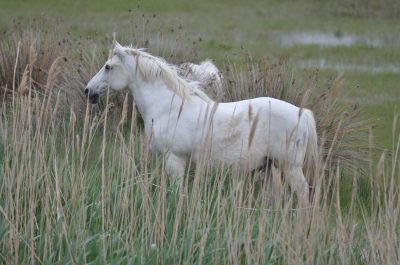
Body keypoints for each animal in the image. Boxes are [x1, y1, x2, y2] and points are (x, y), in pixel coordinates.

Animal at [85, 42, 318, 205]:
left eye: (108, 67)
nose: (88, 91)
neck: (168, 106)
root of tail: (302, 113)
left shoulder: (175, 160)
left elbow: (177, 193)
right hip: (271, 166)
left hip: (291, 168)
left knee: (303, 194)